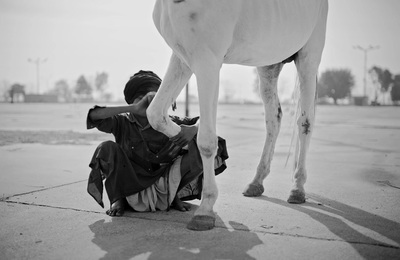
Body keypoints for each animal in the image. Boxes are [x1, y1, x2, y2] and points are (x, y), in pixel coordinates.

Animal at [147, 0, 328, 232]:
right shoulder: (183, 57)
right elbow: (155, 115)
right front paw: (187, 140)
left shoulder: (207, 61)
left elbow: (207, 141)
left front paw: (205, 209)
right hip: (269, 63)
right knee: (273, 119)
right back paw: (257, 182)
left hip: (308, 56)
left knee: (305, 122)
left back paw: (297, 187)